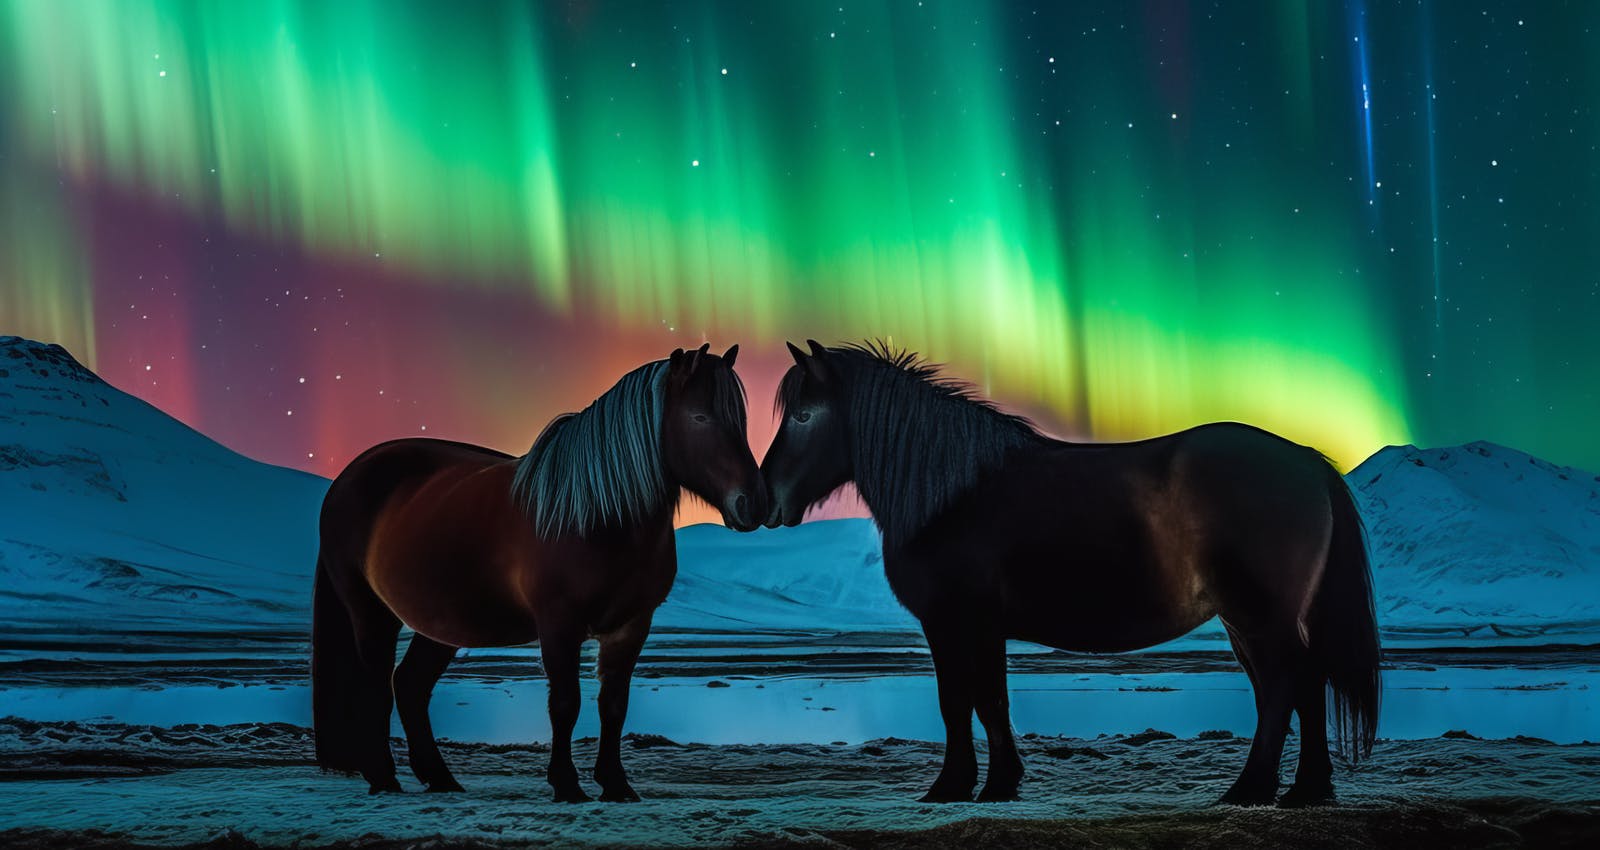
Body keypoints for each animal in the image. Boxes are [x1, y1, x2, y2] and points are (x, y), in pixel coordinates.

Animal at [315, 342, 764, 800]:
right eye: (699, 417)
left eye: (741, 421)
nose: (754, 504)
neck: (597, 515)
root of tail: (349, 476)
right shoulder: (558, 622)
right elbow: (565, 704)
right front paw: (566, 784)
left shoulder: (632, 625)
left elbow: (613, 706)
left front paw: (616, 784)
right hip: (372, 612)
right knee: (375, 686)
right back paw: (383, 778)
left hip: (441, 624)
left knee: (410, 686)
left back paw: (440, 778)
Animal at [758, 339, 1376, 803]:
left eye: (805, 415)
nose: (765, 501)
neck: (953, 496)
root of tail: (1306, 461)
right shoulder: (983, 628)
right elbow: (991, 701)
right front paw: (1000, 785)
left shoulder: (952, 622)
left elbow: (957, 701)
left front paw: (951, 787)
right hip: (1253, 621)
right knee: (1300, 686)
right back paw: (1303, 791)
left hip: (1259, 618)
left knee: (1285, 687)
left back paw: (1250, 790)